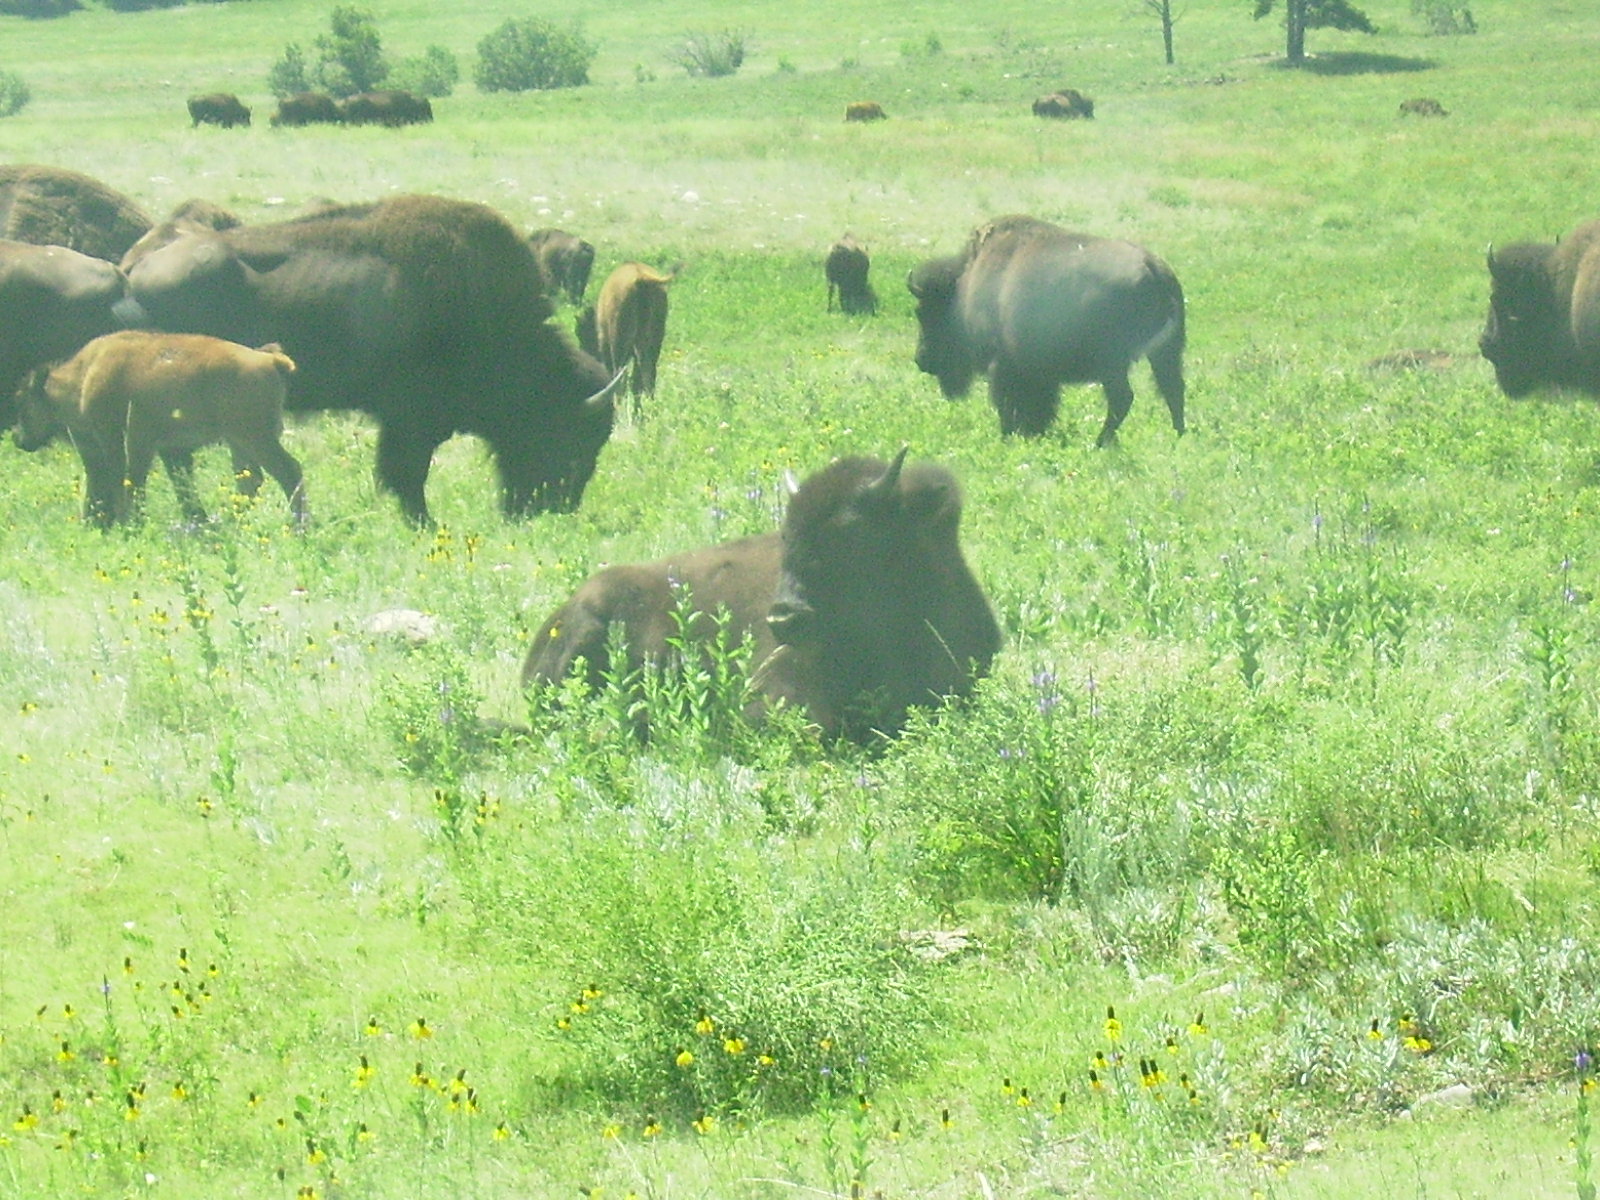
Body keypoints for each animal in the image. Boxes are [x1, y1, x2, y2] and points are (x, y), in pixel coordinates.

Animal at [14, 331, 306, 529]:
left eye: (24, 401)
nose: (19, 439)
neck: (85, 376)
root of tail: (269, 359)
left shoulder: (120, 440)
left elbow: (125, 480)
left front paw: (129, 523)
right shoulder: (171, 450)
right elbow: (182, 487)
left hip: (256, 438)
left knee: (288, 472)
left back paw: (299, 526)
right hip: (240, 442)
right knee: (249, 480)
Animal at [117, 194, 624, 525]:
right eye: (570, 435)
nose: (552, 507)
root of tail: (134, 267)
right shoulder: (411, 420)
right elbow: (407, 473)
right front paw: (423, 524)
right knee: (178, 458)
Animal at [908, 214, 1186, 444]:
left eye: (925, 313)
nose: (921, 360)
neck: (964, 288)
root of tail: (1152, 266)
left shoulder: (1003, 365)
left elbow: (1007, 403)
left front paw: (1010, 436)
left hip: (1112, 364)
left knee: (1123, 398)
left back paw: (1099, 443)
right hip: (1166, 353)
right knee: (1173, 390)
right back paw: (1178, 436)